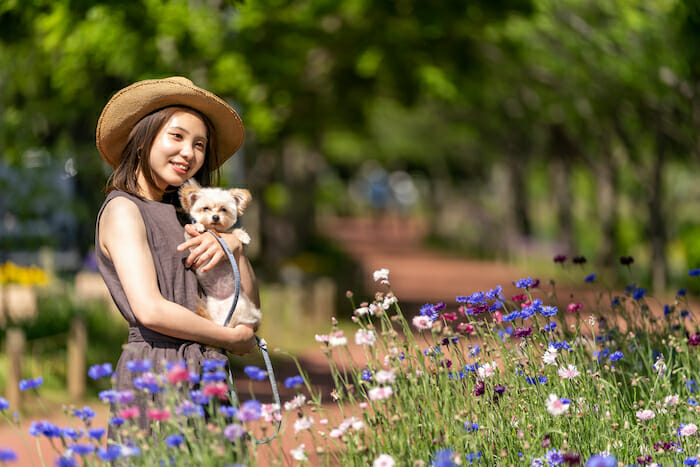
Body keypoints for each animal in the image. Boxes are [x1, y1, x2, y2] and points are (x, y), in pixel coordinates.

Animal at [179, 177, 262, 330]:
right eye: (205, 208)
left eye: (223, 209)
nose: (216, 217)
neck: (214, 231)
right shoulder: (192, 243)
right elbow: (192, 231)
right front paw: (198, 226)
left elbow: (233, 232)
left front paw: (242, 235)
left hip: (240, 307)